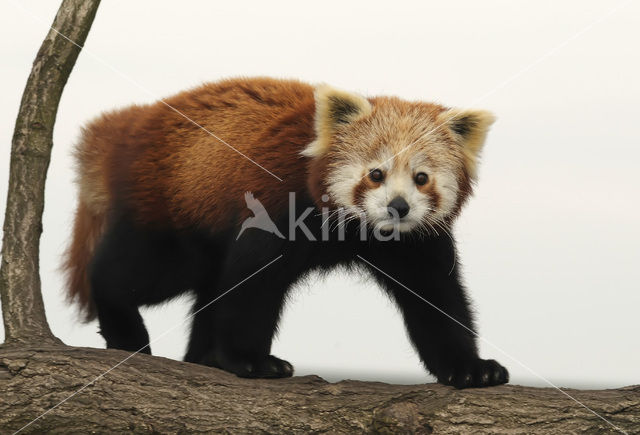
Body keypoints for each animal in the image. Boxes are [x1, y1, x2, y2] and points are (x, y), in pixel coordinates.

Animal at [63, 77, 504, 388]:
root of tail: (131, 123)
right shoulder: (274, 206)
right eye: (376, 174)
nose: (398, 206)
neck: (354, 229)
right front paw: (250, 360)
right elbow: (252, 286)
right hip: (173, 210)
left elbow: (436, 298)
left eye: (421, 178)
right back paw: (127, 331)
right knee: (133, 273)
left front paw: (470, 368)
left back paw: (205, 357)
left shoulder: (414, 244)